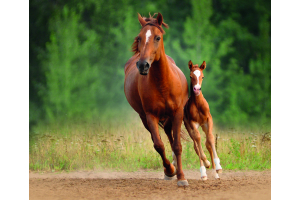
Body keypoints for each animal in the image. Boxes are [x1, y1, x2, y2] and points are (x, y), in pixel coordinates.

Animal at [123, 13, 189, 187]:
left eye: (157, 37)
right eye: (139, 38)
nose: (143, 65)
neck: (162, 83)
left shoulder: (177, 113)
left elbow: (177, 145)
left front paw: (181, 177)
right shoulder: (150, 115)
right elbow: (158, 145)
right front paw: (170, 171)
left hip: (169, 117)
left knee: (171, 137)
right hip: (144, 118)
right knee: (159, 139)